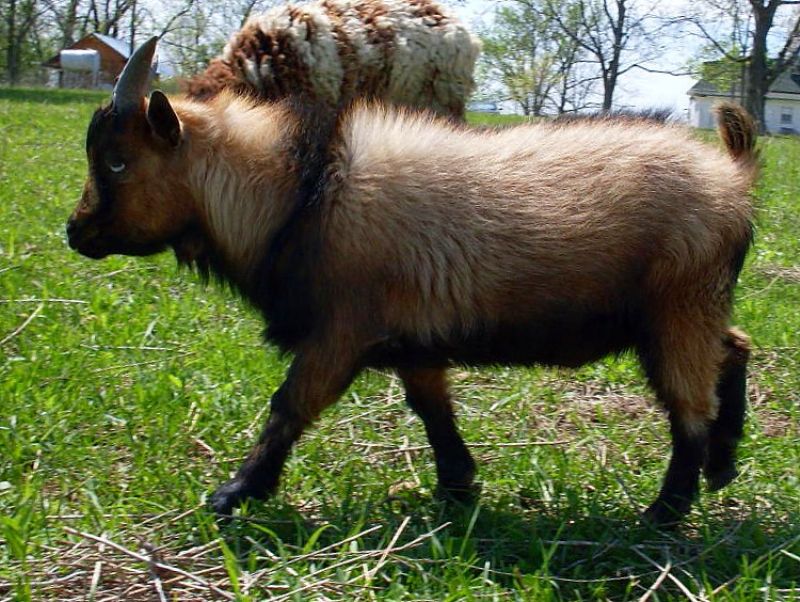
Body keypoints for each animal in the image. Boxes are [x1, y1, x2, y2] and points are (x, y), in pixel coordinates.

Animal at [67, 38, 757, 527]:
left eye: (117, 162)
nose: (75, 233)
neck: (301, 190)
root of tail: (733, 175)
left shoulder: (339, 333)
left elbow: (289, 405)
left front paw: (235, 492)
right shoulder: (411, 338)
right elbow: (432, 409)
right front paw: (458, 486)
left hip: (675, 311)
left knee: (689, 409)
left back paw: (664, 512)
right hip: (691, 309)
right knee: (735, 348)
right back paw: (723, 466)